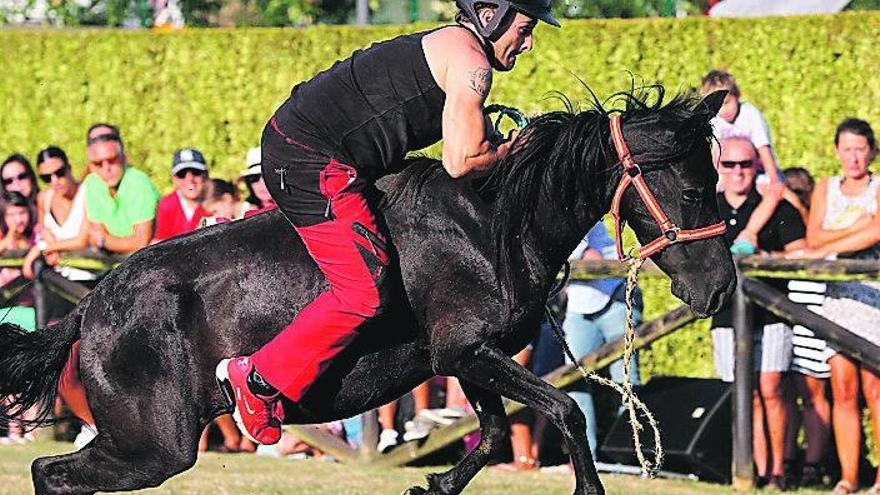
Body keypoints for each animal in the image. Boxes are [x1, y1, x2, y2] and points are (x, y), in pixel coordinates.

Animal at [0, 87, 736, 494]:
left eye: (721, 181)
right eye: (694, 190)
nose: (721, 288)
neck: (493, 218)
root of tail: (90, 309)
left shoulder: (466, 357)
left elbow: (494, 433)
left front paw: (432, 482)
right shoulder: (468, 351)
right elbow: (563, 410)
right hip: (155, 444)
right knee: (49, 473)